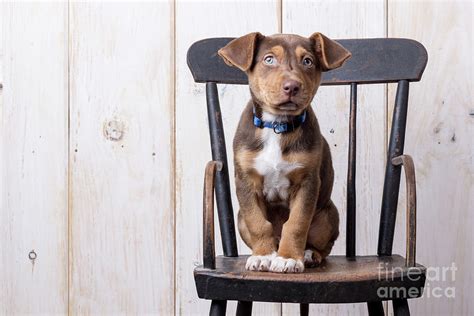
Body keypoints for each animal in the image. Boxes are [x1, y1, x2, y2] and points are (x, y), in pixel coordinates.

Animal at [218, 32, 348, 274]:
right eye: (269, 59)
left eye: (308, 61)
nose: (292, 87)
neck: (277, 125)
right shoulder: (246, 181)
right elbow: (258, 223)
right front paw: (262, 255)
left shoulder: (307, 181)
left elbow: (297, 223)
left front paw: (288, 258)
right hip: (239, 218)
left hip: (328, 214)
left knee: (323, 247)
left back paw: (308, 254)